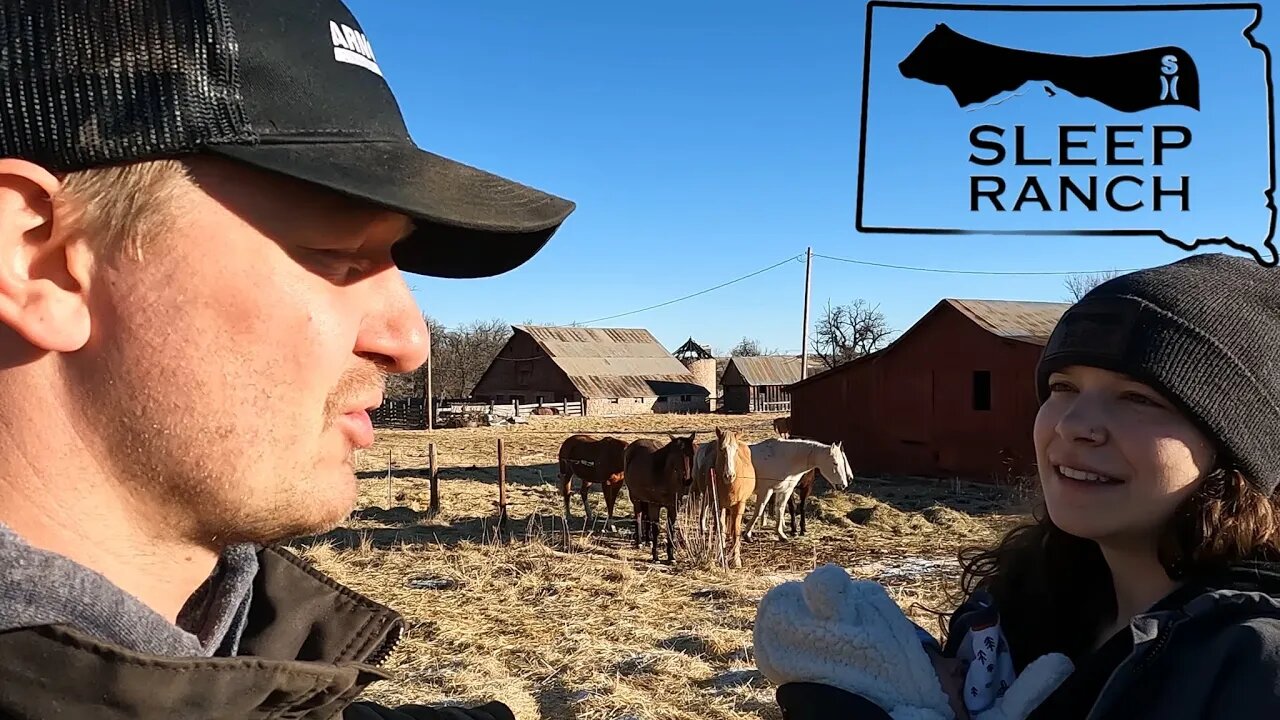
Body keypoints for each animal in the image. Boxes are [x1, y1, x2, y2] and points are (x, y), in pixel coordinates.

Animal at [622, 427, 696, 563]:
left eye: (692, 453)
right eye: (676, 455)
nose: (687, 480)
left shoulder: (673, 507)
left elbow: (671, 528)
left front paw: (671, 557)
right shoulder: (655, 505)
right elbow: (656, 528)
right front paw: (655, 556)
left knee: (646, 518)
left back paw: (648, 540)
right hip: (635, 498)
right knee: (639, 515)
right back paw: (640, 542)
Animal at [706, 425, 752, 566]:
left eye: (736, 450)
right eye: (721, 449)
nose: (729, 475)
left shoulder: (739, 504)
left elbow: (735, 531)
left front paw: (736, 561)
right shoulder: (717, 504)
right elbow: (720, 529)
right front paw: (720, 556)